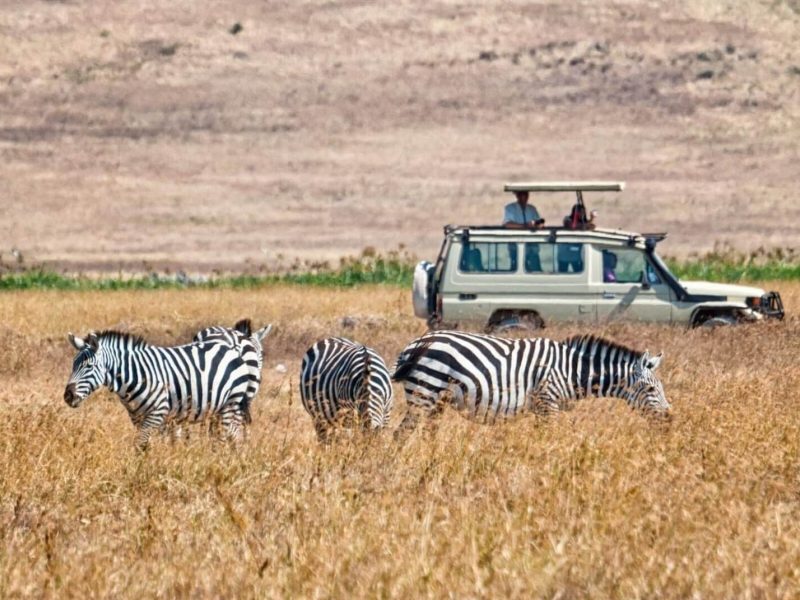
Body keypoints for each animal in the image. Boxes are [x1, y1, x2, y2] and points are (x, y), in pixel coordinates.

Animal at [64, 330, 257, 449]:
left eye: (89, 366)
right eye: (73, 365)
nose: (68, 396)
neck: (135, 374)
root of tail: (231, 348)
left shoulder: (156, 413)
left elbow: (140, 445)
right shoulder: (138, 417)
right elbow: (147, 445)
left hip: (230, 404)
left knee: (224, 437)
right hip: (221, 408)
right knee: (233, 435)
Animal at [391, 330, 668, 432]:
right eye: (650, 388)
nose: (669, 420)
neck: (571, 370)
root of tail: (415, 343)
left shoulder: (542, 407)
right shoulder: (548, 402)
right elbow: (551, 438)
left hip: (435, 400)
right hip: (425, 392)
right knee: (402, 433)